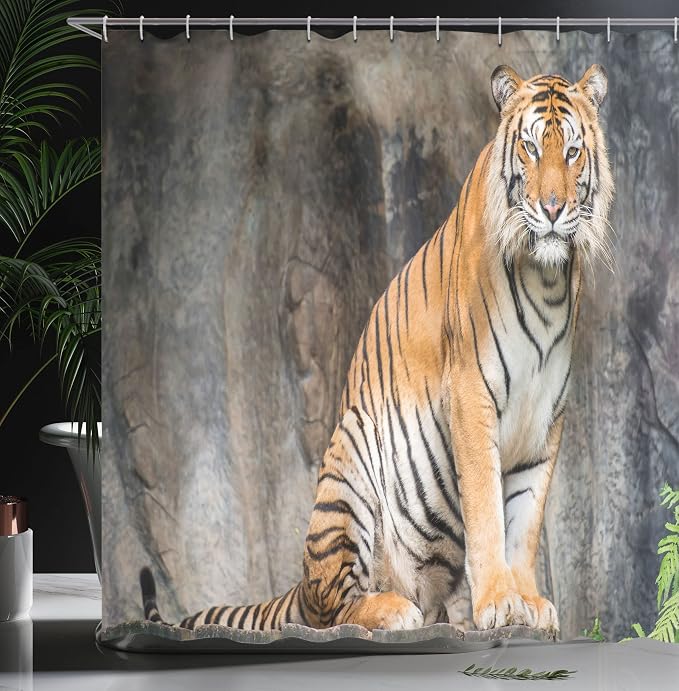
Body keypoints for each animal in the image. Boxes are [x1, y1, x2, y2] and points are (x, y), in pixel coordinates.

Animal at [140, 63, 614, 635]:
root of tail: (299, 584)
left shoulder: (546, 415)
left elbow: (525, 522)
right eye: (529, 148)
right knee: (334, 609)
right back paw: (392, 609)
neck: (545, 278)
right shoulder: (471, 394)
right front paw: (499, 602)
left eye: (572, 152)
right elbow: (487, 511)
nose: (552, 209)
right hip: (353, 456)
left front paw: (529, 602)